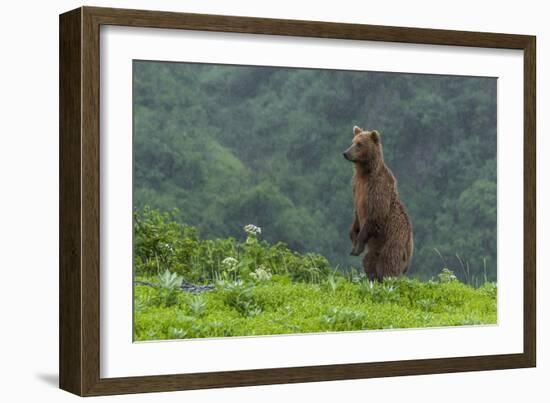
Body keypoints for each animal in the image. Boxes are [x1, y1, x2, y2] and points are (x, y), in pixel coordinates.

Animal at [344, 125, 414, 280]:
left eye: (359, 144)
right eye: (352, 141)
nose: (346, 153)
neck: (365, 172)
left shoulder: (377, 188)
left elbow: (376, 214)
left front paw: (357, 246)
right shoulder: (356, 186)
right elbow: (356, 214)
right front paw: (352, 237)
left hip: (392, 242)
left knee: (387, 263)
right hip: (376, 248)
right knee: (369, 260)